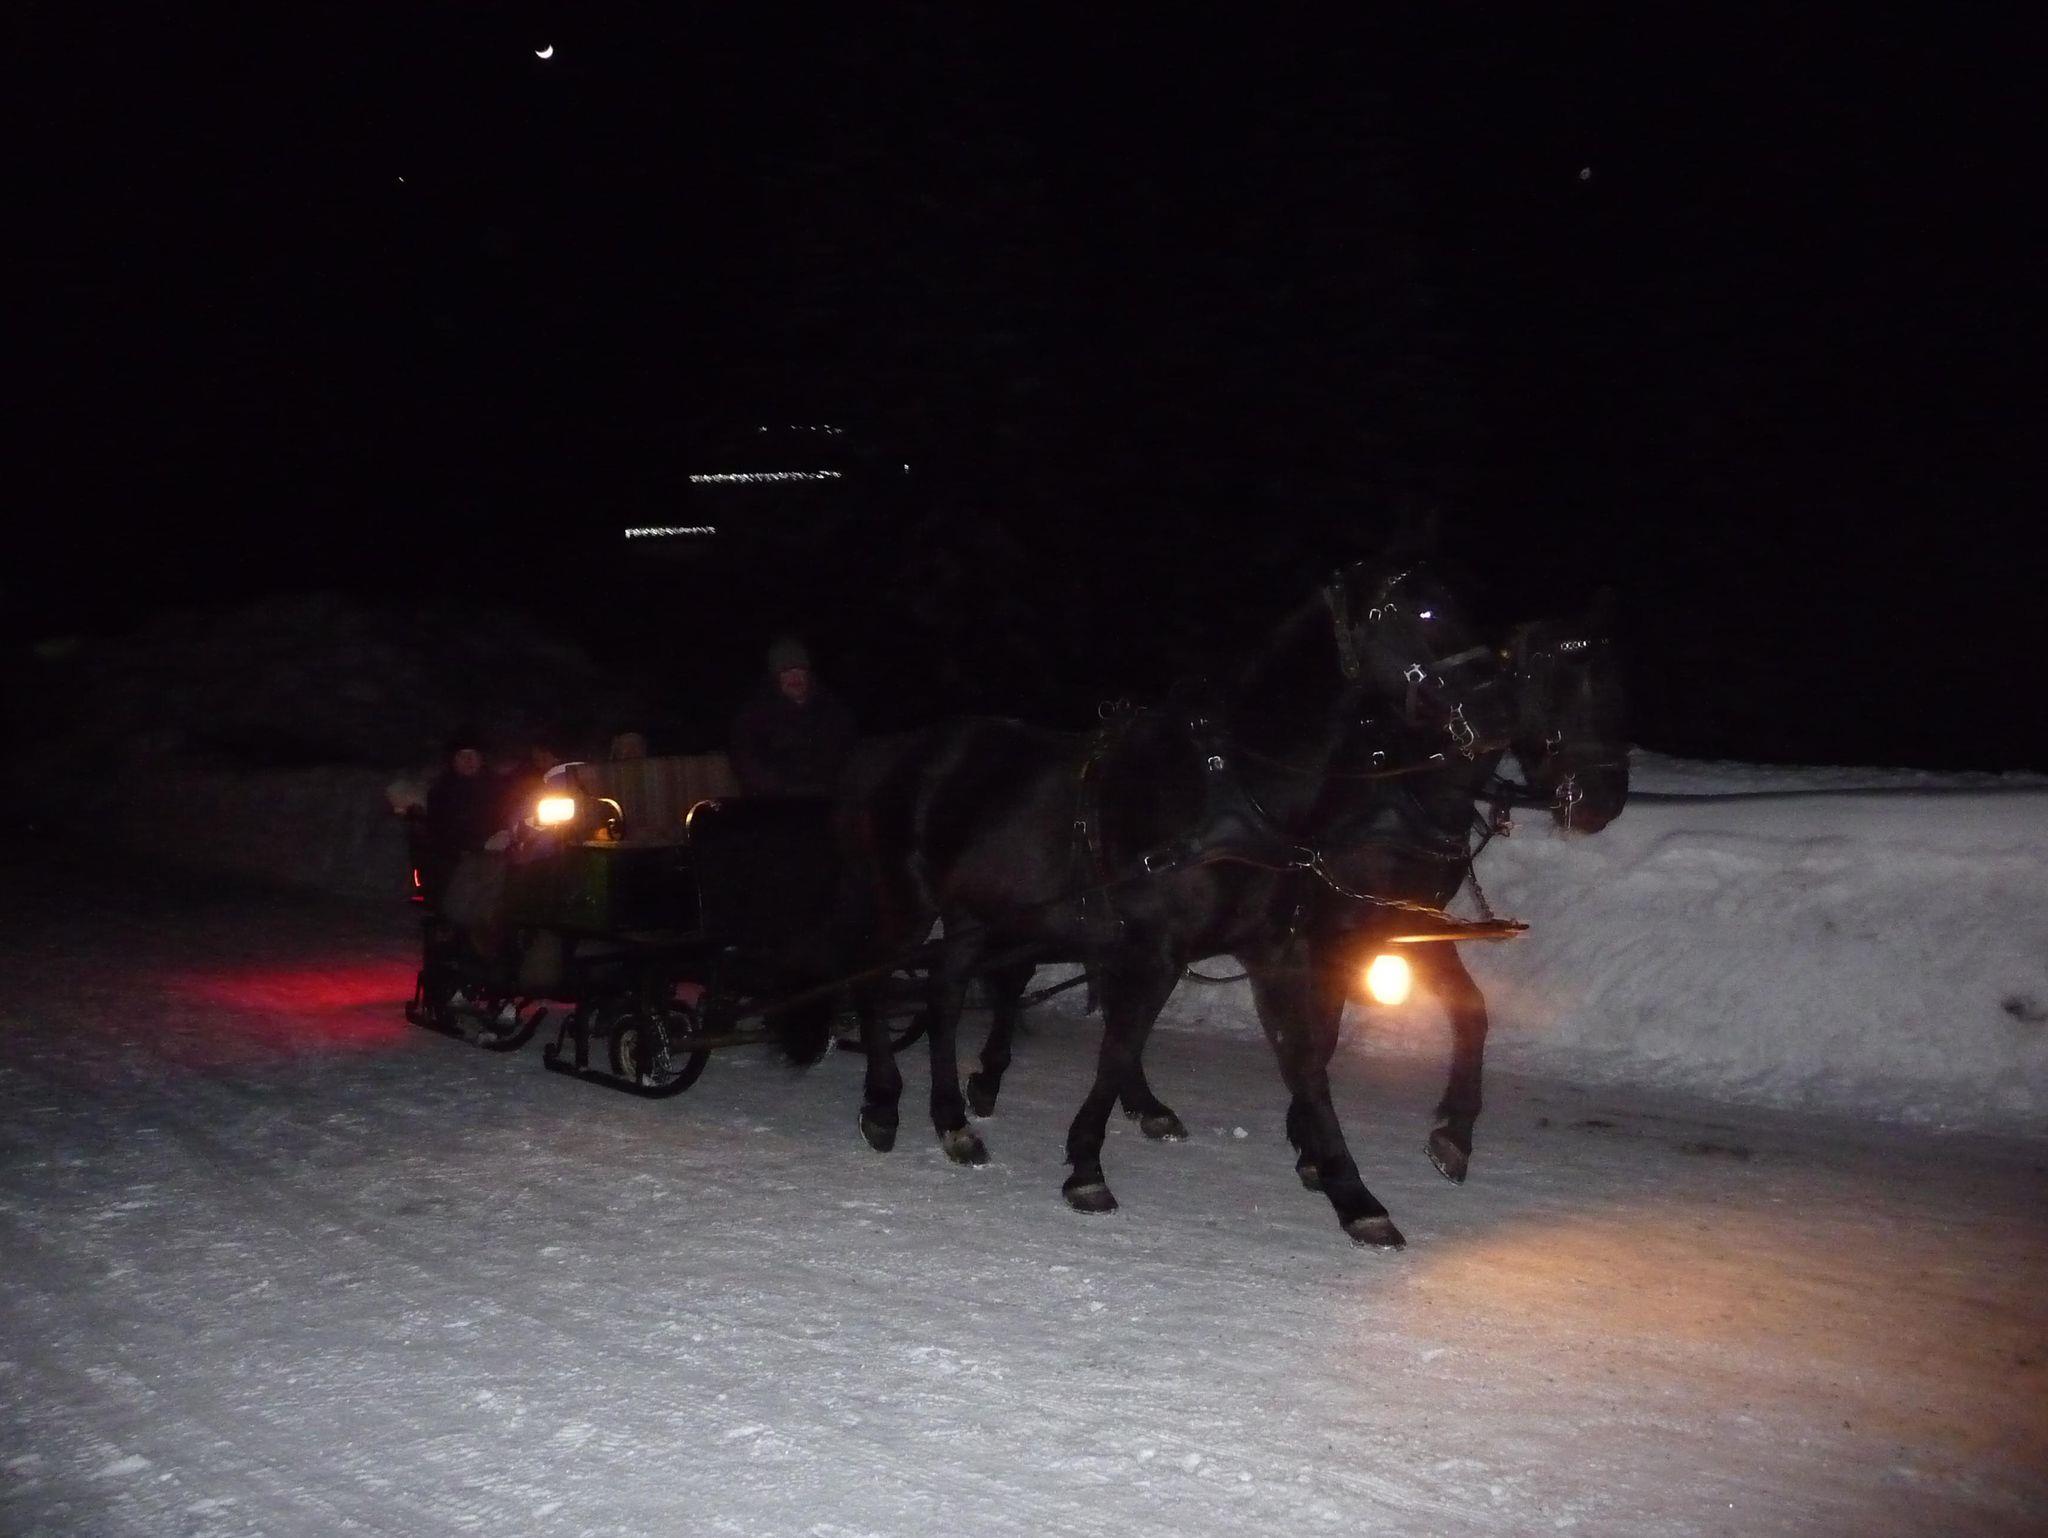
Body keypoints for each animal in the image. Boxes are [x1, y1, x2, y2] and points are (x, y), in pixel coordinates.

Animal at [805, 558, 1517, 1246]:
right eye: (1423, 614)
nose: (1498, 713)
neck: (1235, 794)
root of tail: (886, 750)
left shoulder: (1276, 949)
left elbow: (1306, 1059)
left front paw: (1353, 1194)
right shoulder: (1158, 950)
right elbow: (1120, 1048)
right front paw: (1087, 1167)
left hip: (975, 917)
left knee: (947, 993)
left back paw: (951, 1117)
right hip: (906, 903)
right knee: (877, 982)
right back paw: (883, 1103)